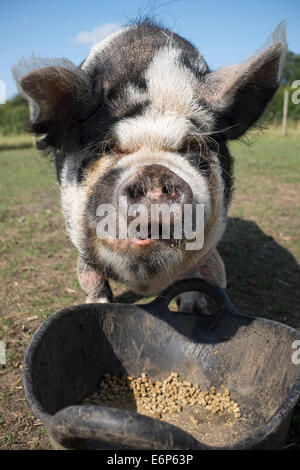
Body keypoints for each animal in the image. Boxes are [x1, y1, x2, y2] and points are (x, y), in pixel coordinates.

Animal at [11, 19, 288, 312]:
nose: (155, 173)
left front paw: (193, 310)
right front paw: (97, 306)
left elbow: (208, 274)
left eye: (193, 146)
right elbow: (90, 277)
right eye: (108, 147)